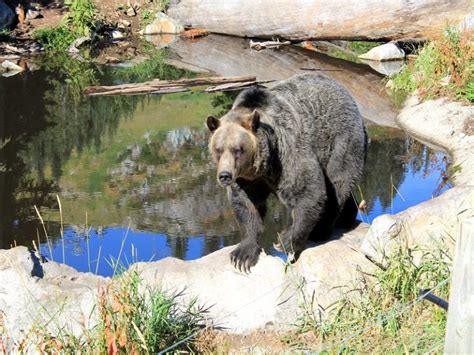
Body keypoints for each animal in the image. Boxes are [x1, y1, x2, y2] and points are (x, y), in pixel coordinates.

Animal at [206, 74, 366, 272]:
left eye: (237, 149)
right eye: (218, 149)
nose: (225, 176)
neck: (263, 164)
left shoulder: (288, 153)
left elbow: (308, 191)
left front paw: (284, 240)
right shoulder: (247, 180)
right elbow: (246, 205)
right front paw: (243, 254)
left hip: (341, 139)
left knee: (339, 181)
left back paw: (322, 230)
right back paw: (347, 218)